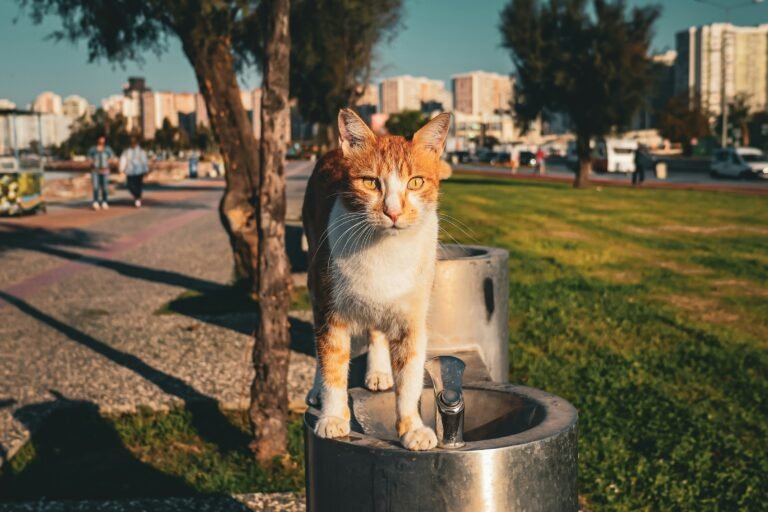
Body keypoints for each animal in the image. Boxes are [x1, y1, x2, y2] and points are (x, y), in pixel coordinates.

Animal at [304, 107, 452, 448]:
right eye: (371, 183)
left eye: (415, 182)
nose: (393, 212)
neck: (385, 250)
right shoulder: (330, 311)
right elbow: (332, 363)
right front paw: (333, 417)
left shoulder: (411, 319)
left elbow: (410, 379)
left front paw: (411, 427)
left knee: (376, 330)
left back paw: (379, 370)